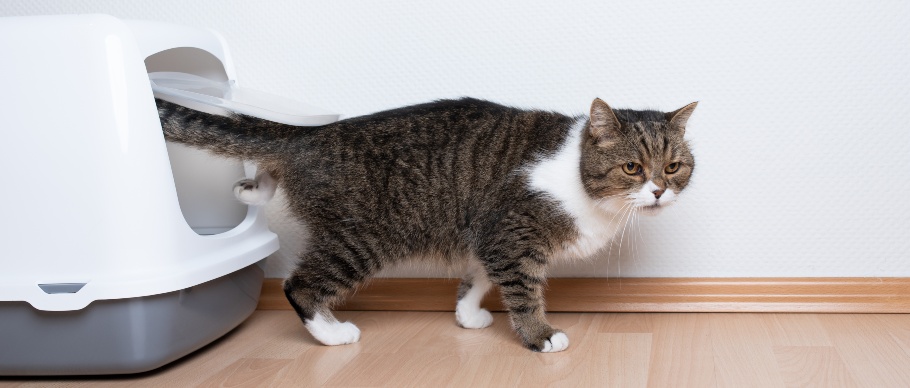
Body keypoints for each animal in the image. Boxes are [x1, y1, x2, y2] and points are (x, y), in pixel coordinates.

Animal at [159, 97, 700, 352]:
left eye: (673, 167)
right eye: (632, 168)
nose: (658, 190)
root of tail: (311, 136)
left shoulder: (486, 236)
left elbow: (476, 279)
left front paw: (467, 316)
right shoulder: (512, 237)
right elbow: (523, 293)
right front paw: (541, 337)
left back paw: (254, 188)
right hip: (362, 240)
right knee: (300, 286)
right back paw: (333, 334)